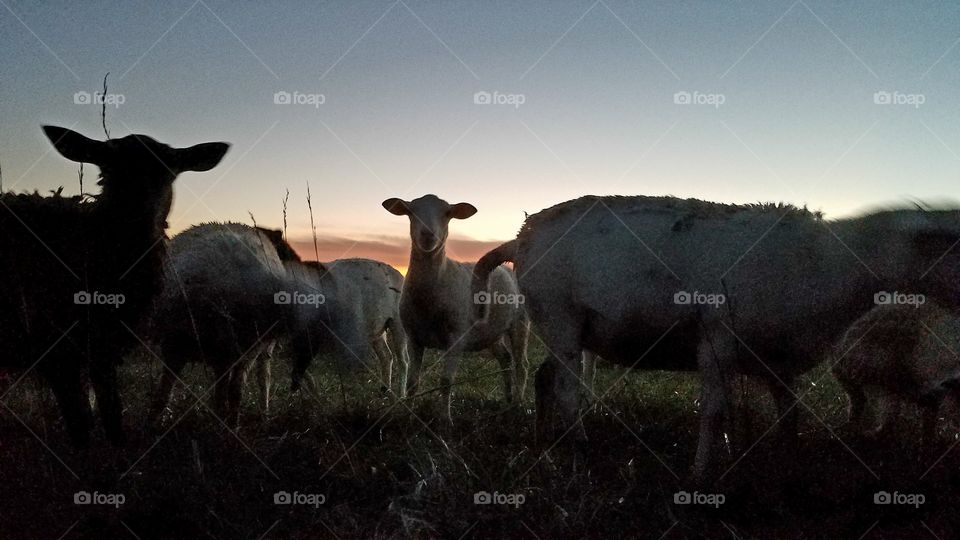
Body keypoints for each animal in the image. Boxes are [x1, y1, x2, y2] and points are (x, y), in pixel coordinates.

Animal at [0, 125, 229, 446]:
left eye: (168, 169)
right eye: (106, 167)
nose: (136, 212)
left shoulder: (103, 348)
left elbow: (112, 416)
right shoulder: (57, 346)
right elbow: (81, 425)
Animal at [149, 223, 374, 426]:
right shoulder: (258, 346)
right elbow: (262, 378)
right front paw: (263, 412)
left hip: (193, 344)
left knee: (173, 391)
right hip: (223, 343)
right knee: (226, 390)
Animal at [382, 194, 529, 418]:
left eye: (447, 213)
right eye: (410, 211)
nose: (428, 235)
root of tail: (505, 267)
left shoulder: (456, 338)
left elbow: (445, 382)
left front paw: (446, 420)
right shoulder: (414, 338)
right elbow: (412, 383)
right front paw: (408, 416)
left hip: (520, 323)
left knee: (522, 365)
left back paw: (518, 404)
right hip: (491, 331)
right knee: (506, 359)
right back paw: (508, 399)